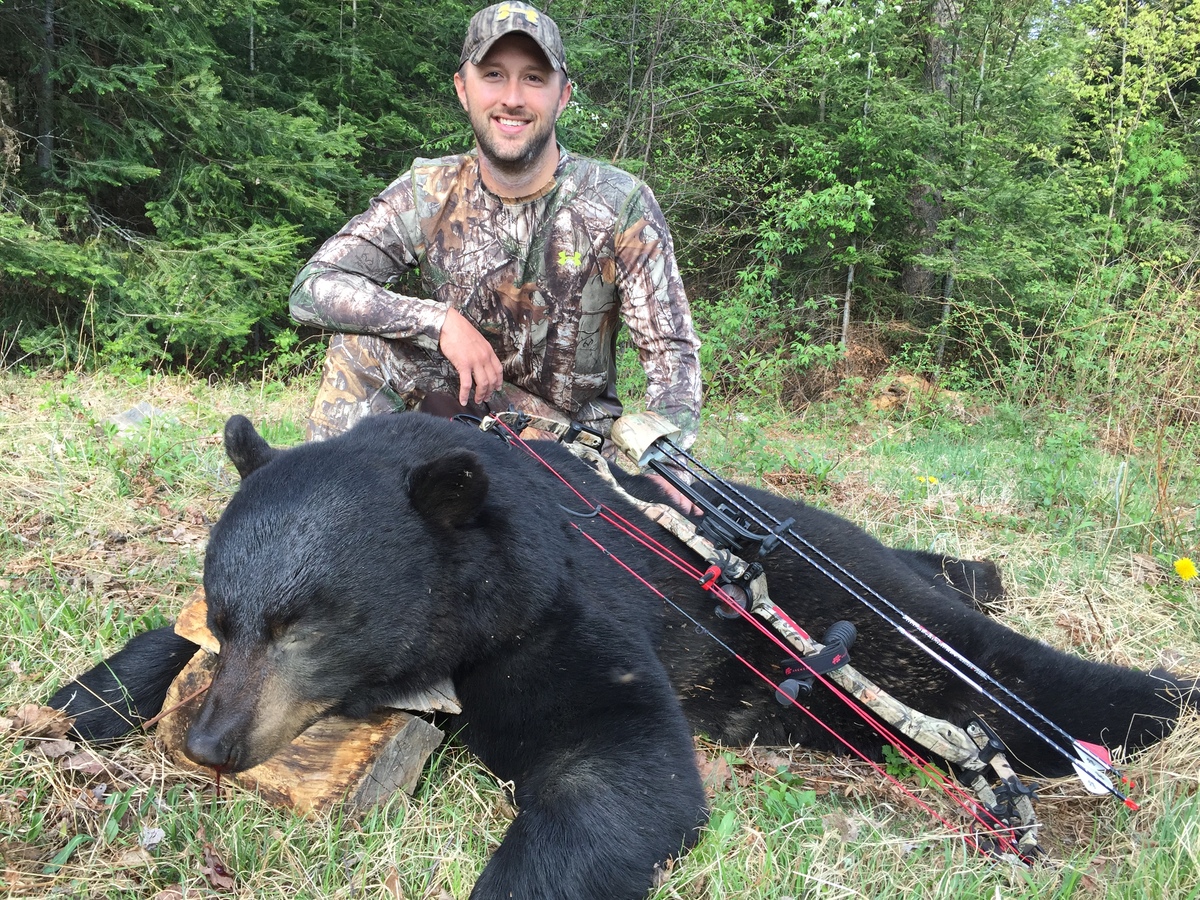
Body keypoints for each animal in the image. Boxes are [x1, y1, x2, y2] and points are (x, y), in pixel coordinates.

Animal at [51, 415, 1195, 900]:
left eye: (307, 622)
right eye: (235, 614)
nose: (212, 742)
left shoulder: (555, 607)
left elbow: (611, 760)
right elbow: (157, 639)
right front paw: (83, 699)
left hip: (830, 595)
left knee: (973, 661)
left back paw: (1152, 695)